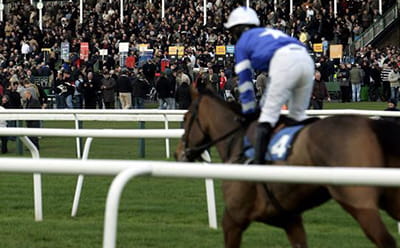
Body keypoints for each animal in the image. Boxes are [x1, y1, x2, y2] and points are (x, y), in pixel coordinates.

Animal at [176, 88, 400, 248]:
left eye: (185, 118)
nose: (178, 153)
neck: (238, 140)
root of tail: (372, 125)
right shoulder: (290, 220)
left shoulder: (233, 218)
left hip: (359, 202)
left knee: (386, 240)